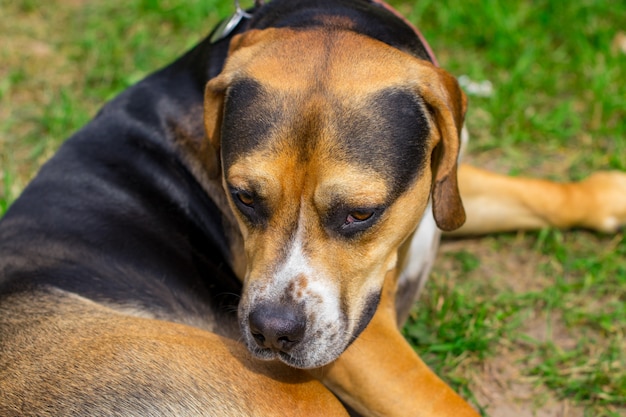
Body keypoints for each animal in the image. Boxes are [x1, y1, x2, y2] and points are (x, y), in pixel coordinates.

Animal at [1, 0, 624, 416]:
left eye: (360, 213)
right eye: (243, 198)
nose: (272, 332)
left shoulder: (439, 182)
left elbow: (528, 193)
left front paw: (606, 194)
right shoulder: (364, 349)